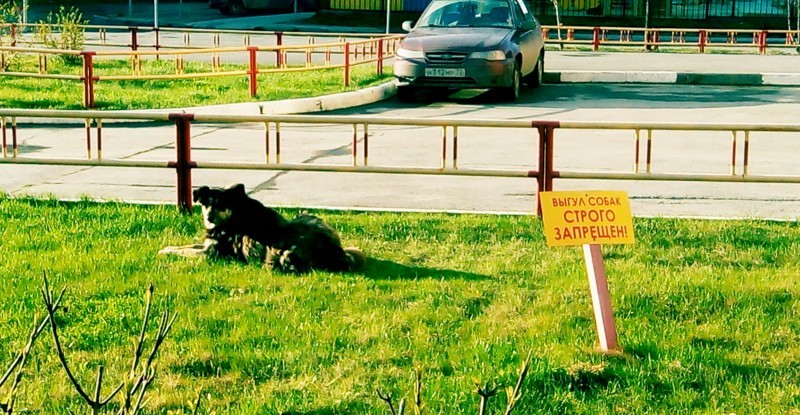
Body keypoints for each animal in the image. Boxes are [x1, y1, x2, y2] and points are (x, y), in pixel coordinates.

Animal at [160, 185, 366, 272]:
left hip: (289, 249)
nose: (209, 218)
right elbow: (185, 246)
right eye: (206, 203)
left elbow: (185, 251)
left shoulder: (210, 254)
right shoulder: (206, 247)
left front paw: (166, 252)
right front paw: (166, 248)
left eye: (220, 205)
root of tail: (336, 253)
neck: (234, 217)